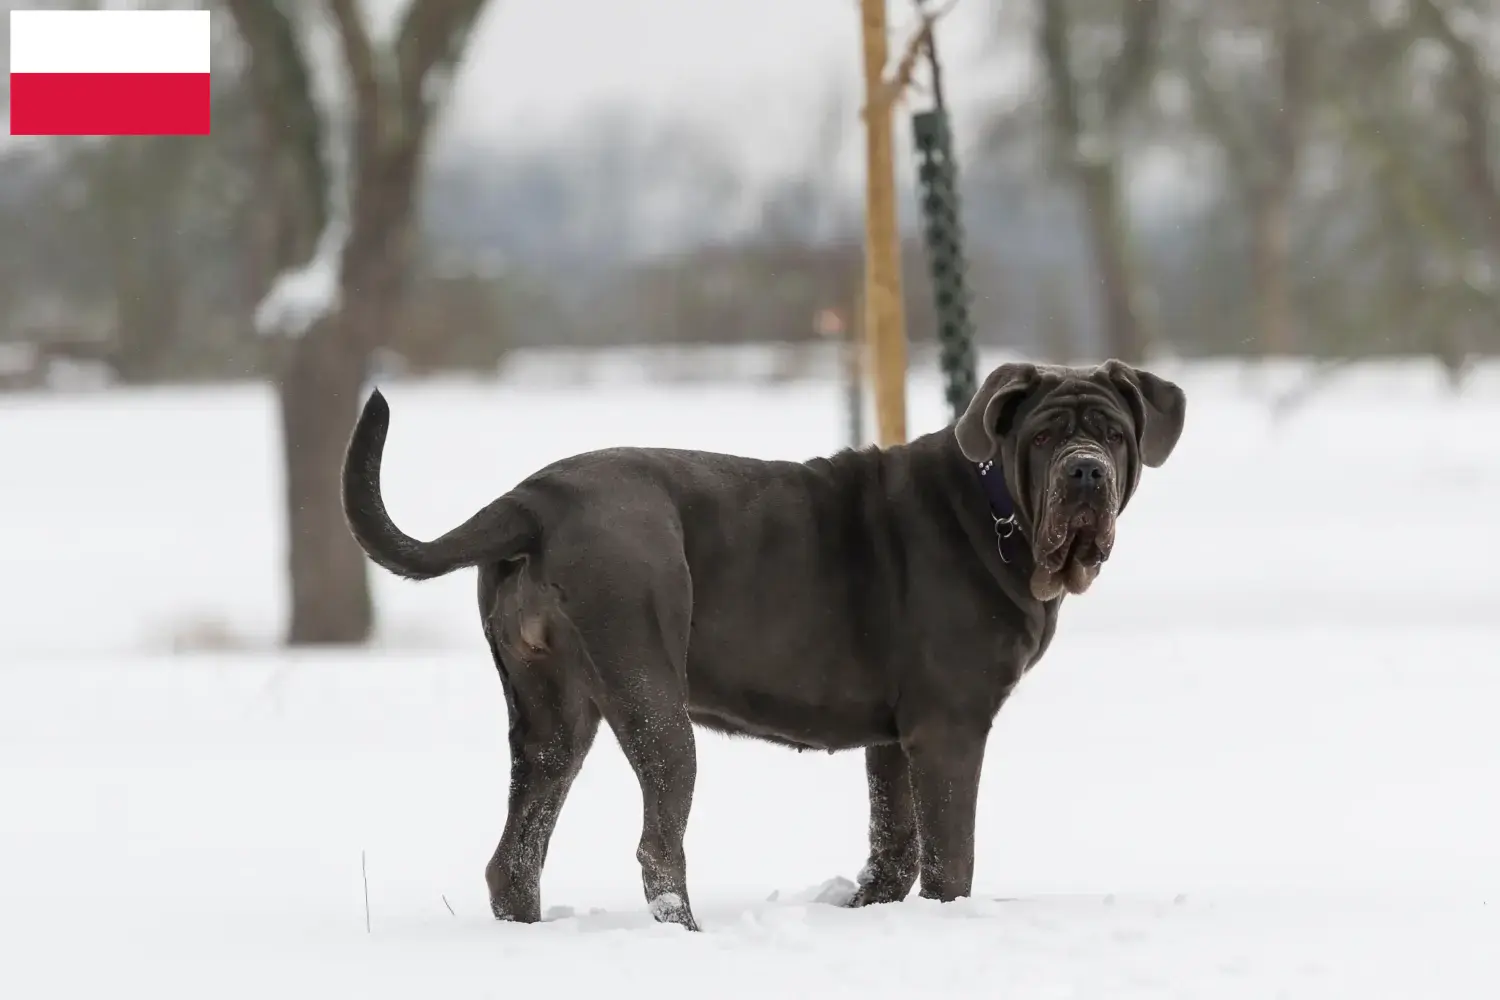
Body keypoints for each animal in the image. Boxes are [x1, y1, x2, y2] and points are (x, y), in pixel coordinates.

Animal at [340, 358, 1182, 929]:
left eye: (1112, 432)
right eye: (1044, 437)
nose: (1085, 473)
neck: (996, 507)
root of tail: (531, 501)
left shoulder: (893, 738)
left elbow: (895, 840)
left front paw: (871, 910)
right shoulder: (949, 728)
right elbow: (950, 851)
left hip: (552, 712)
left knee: (517, 847)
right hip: (650, 692)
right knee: (657, 842)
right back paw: (686, 933)